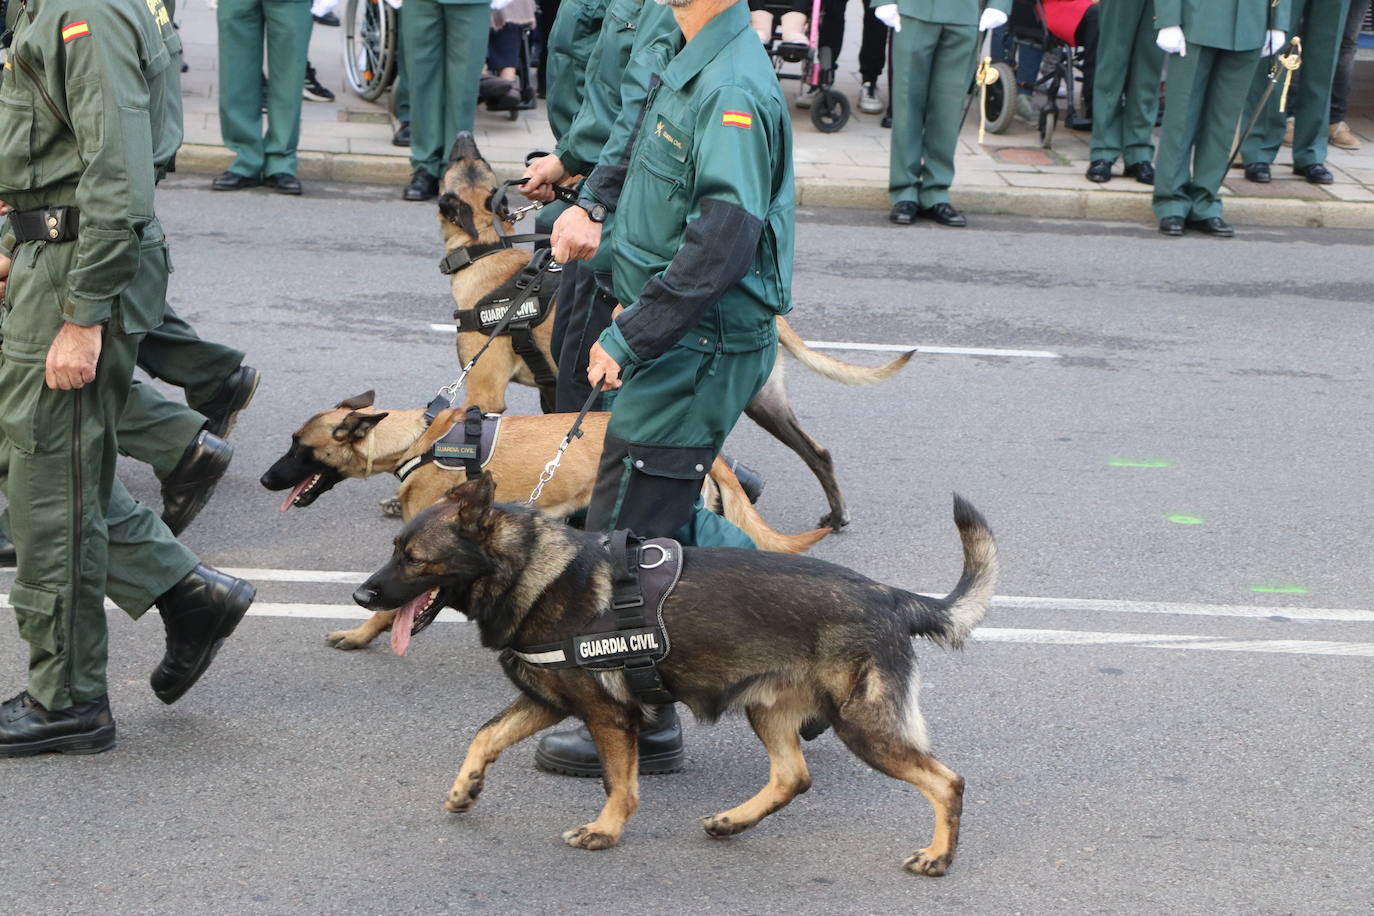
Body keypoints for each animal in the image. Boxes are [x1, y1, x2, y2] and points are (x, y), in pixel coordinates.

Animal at [262, 395, 829, 650]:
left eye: (298, 445)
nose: (267, 480)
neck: (419, 440)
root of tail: (714, 457)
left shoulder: (425, 556)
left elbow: (398, 602)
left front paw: (363, 632)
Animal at [354, 472, 1000, 873]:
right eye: (393, 548)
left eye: (414, 558)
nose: (361, 596)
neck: (530, 569)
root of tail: (890, 596)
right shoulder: (549, 703)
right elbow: (484, 735)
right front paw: (465, 790)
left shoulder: (609, 716)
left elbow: (620, 784)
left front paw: (605, 831)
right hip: (769, 711)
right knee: (793, 777)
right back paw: (733, 823)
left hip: (863, 727)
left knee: (947, 782)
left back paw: (937, 857)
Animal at [436, 129, 912, 530]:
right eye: (475, 158)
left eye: (459, 159)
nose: (461, 133)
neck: (485, 250)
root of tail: (773, 317)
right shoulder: (548, 390)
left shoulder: (485, 393)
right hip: (765, 402)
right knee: (816, 452)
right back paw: (835, 513)